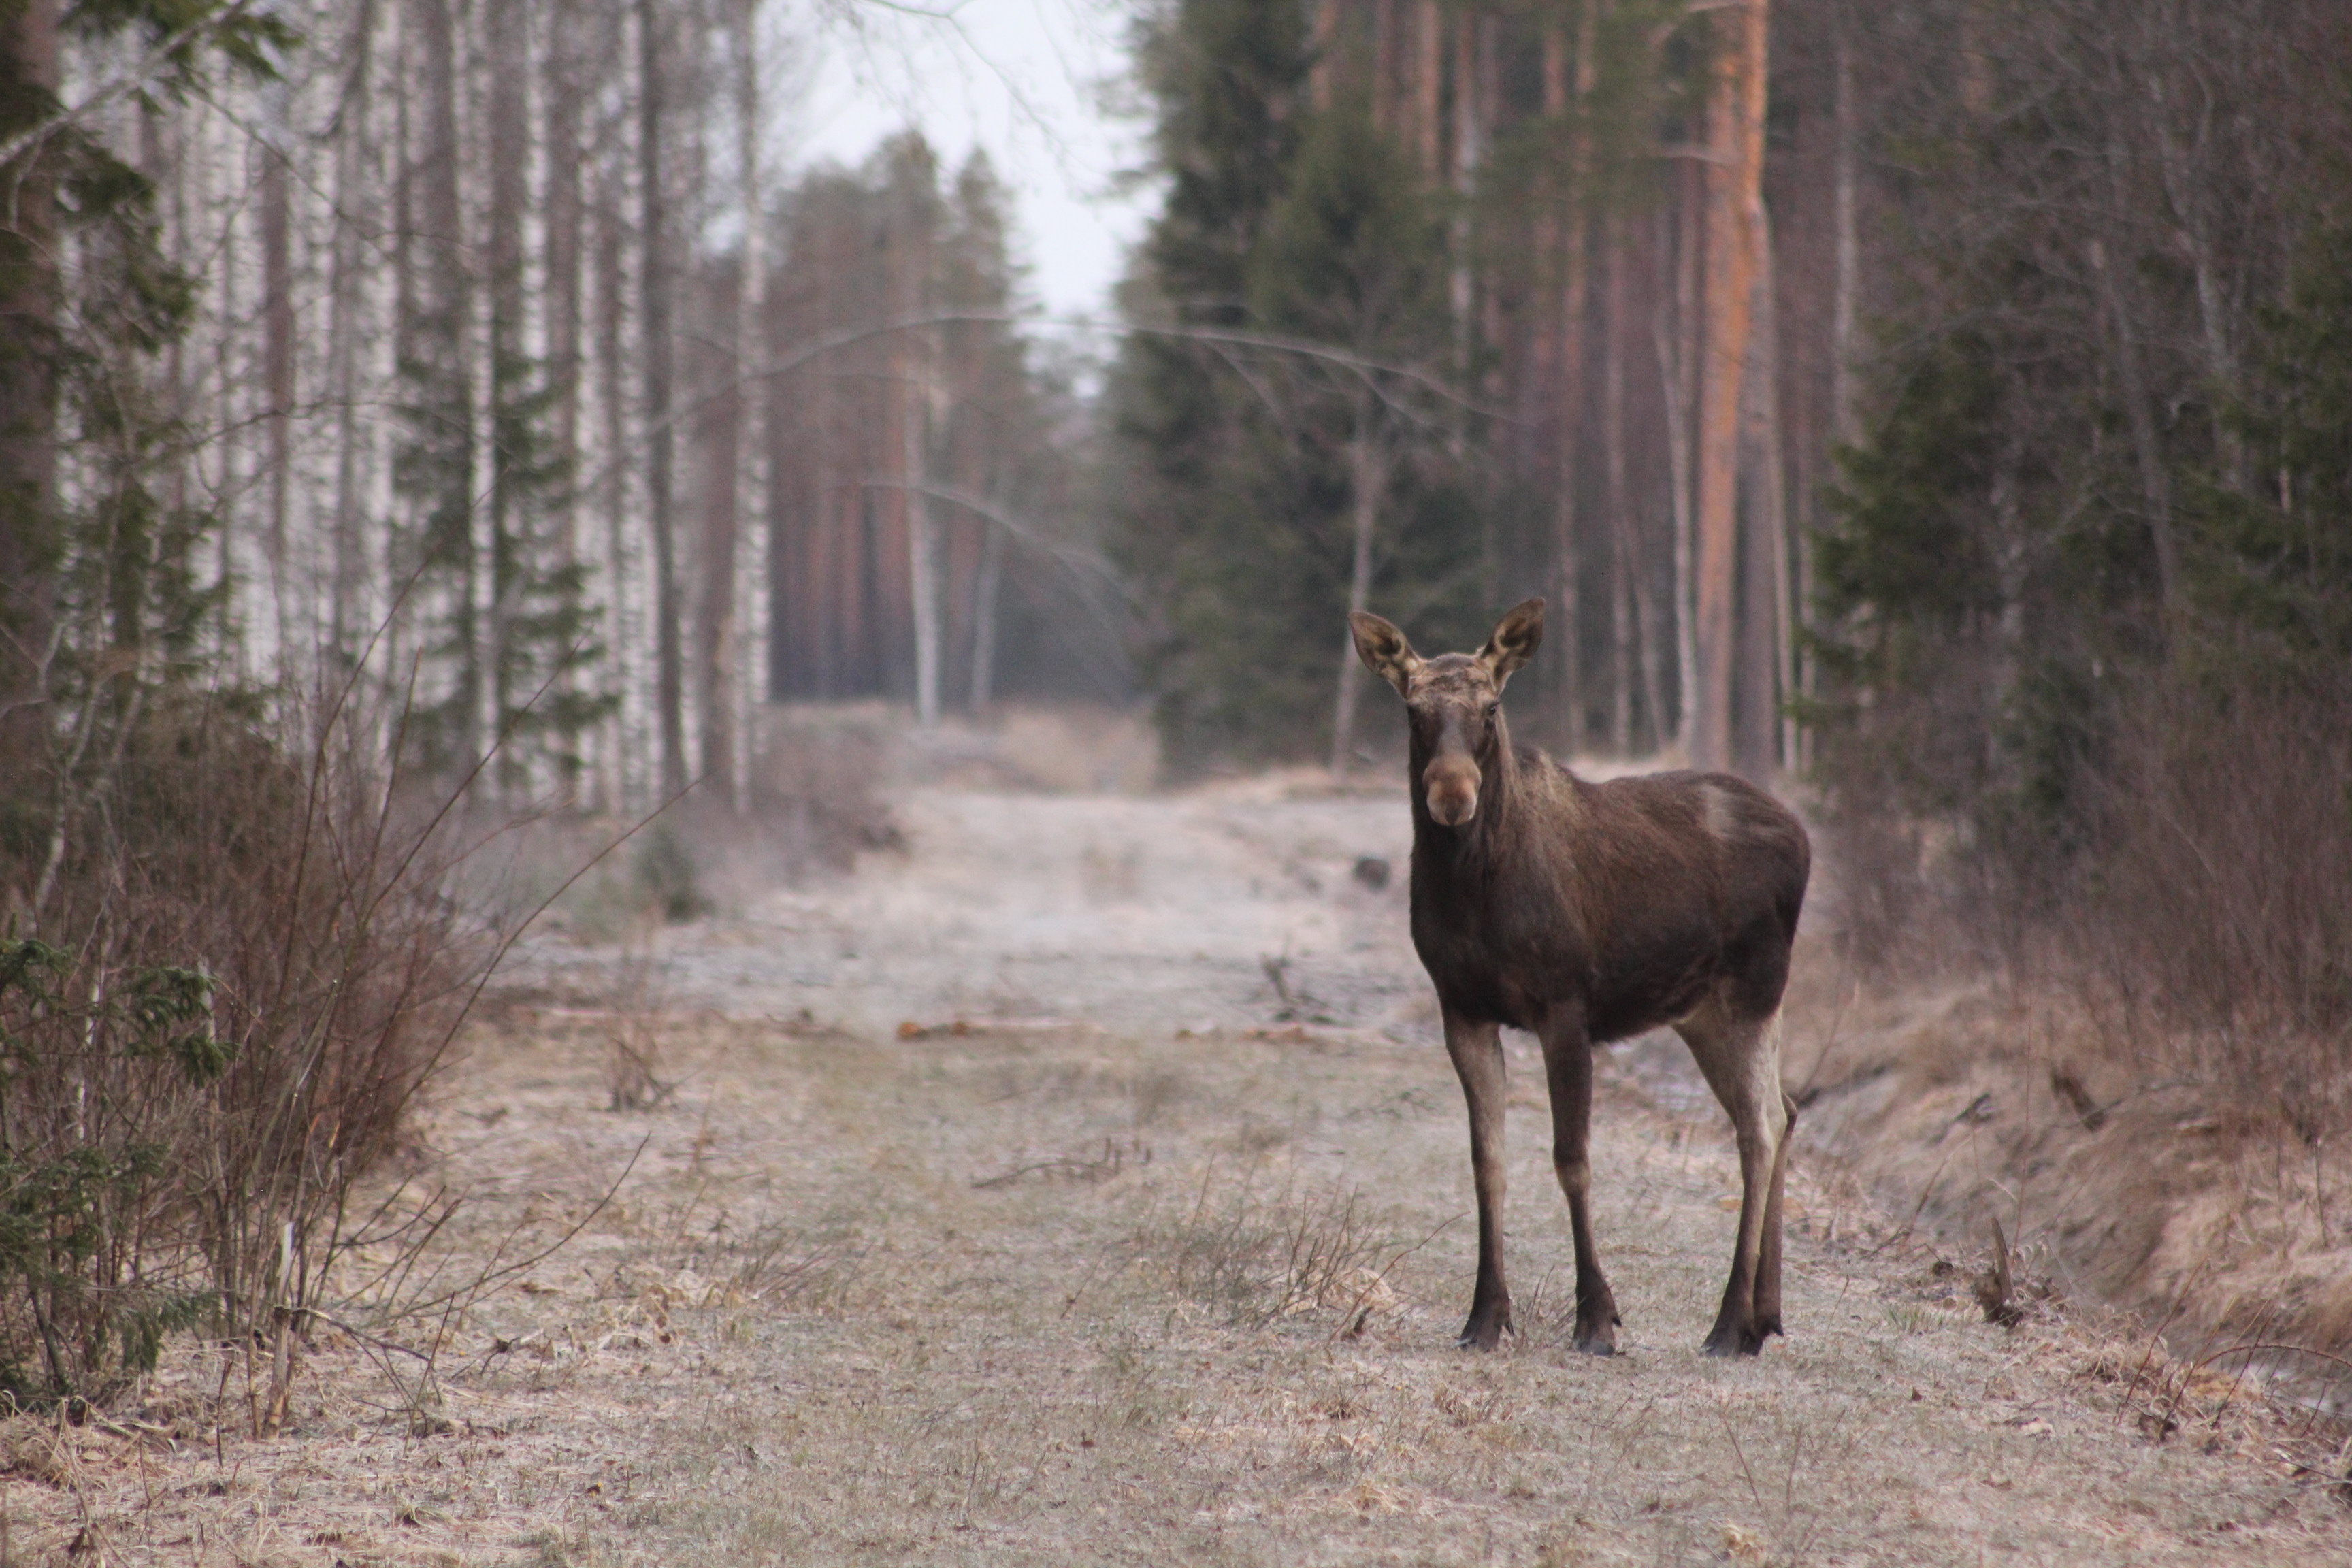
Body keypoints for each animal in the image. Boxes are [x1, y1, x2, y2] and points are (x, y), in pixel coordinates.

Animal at [1354, 594, 1806, 1354]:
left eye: (1492, 707)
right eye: (1413, 710)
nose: (1452, 794)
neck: (1473, 892)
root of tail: (1804, 837)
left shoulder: (1565, 1006)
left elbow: (1572, 1160)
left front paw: (1596, 1317)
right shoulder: (1461, 1008)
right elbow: (1486, 1161)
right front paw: (1484, 1316)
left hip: (1756, 990)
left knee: (1761, 1126)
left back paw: (1726, 1323)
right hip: (1702, 1014)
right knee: (1786, 1109)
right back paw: (1762, 1318)